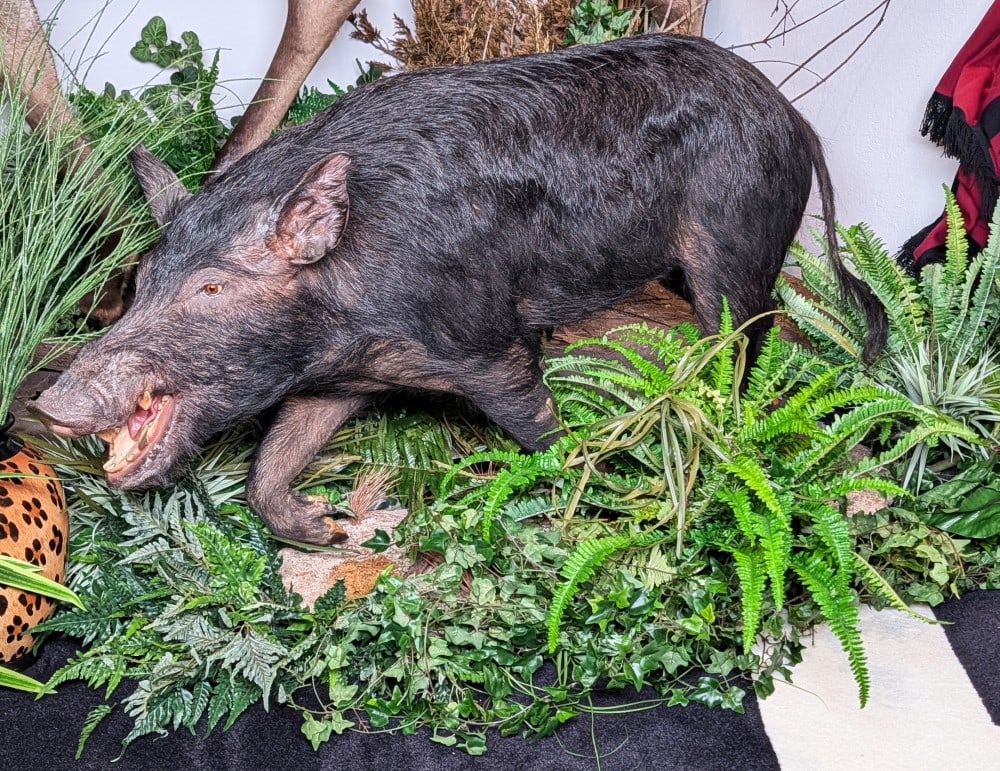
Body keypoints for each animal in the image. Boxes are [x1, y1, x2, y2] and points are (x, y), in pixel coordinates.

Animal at [32, 34, 887, 546]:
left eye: (210, 288)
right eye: (142, 281)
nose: (48, 401)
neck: (349, 318)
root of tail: (793, 115)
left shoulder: (488, 344)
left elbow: (541, 430)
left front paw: (593, 496)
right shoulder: (343, 374)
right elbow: (268, 467)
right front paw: (329, 527)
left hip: (735, 237)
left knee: (747, 334)